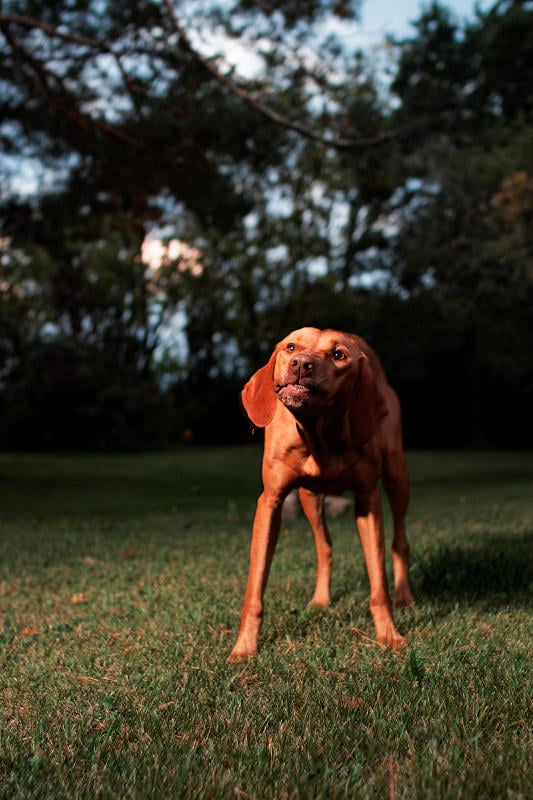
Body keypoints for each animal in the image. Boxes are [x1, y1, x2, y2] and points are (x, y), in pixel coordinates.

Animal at [227, 324, 414, 664]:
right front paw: (245, 646)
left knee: (400, 542)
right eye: (291, 347)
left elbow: (378, 584)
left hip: (397, 476)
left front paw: (389, 635)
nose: (301, 364)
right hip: (308, 499)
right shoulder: (271, 502)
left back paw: (405, 596)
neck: (319, 435)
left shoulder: (368, 499)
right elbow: (255, 589)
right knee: (324, 546)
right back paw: (321, 600)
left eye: (338, 355)